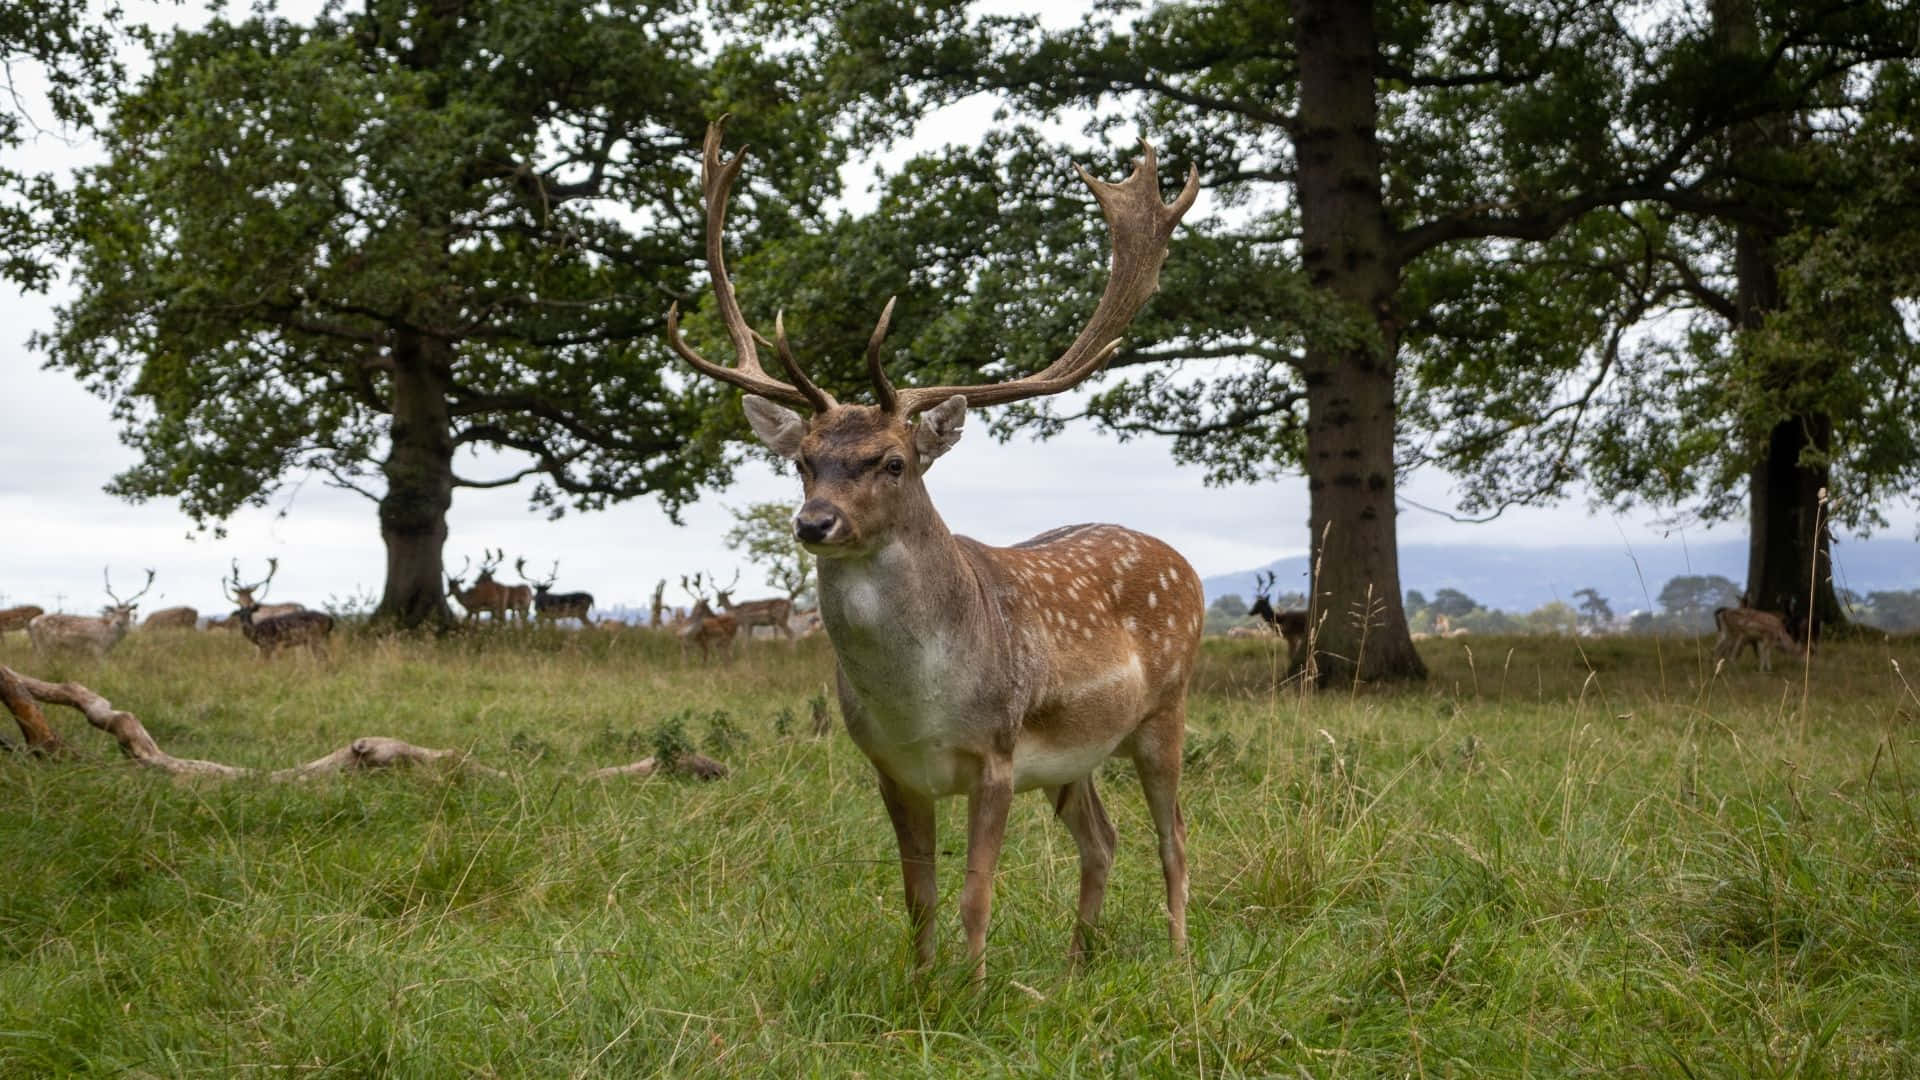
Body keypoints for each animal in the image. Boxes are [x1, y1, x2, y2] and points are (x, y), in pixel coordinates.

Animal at [667, 119, 1200, 977]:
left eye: (892, 461)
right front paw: (920, 985)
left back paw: (1179, 954)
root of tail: (1182, 562)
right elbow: (917, 897)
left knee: (1173, 834)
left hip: (1167, 710)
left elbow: (975, 897)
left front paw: (973, 988)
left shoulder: (997, 754)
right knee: (1102, 838)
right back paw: (1076, 964)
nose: (814, 523)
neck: (919, 706)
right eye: (802, 460)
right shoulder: (893, 771)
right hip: (1074, 757)